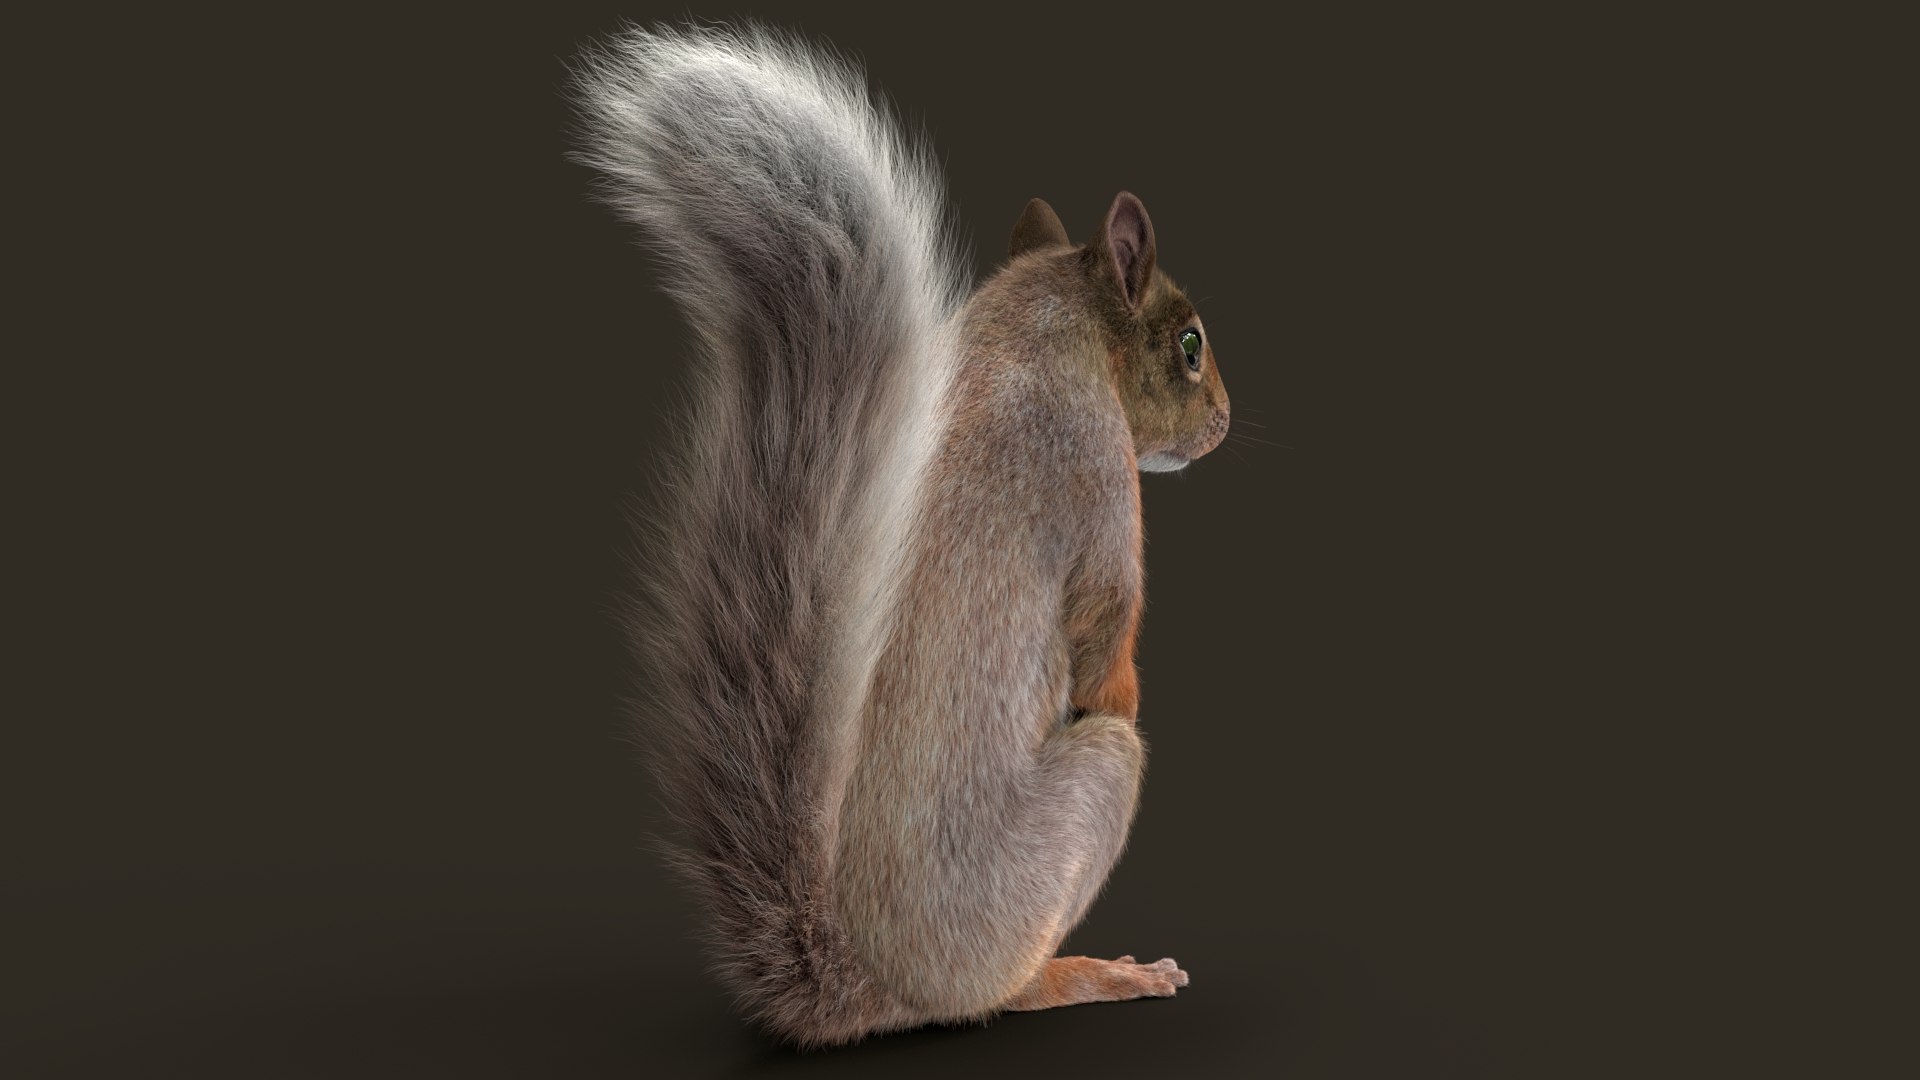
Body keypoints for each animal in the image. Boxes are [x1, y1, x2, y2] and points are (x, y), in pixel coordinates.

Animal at [571, 25, 1230, 1047]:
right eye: (1189, 345)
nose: (1227, 421)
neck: (1040, 322)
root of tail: (874, 982)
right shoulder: (1096, 473)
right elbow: (1105, 649)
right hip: (1068, 829)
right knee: (1005, 973)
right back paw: (1077, 975)